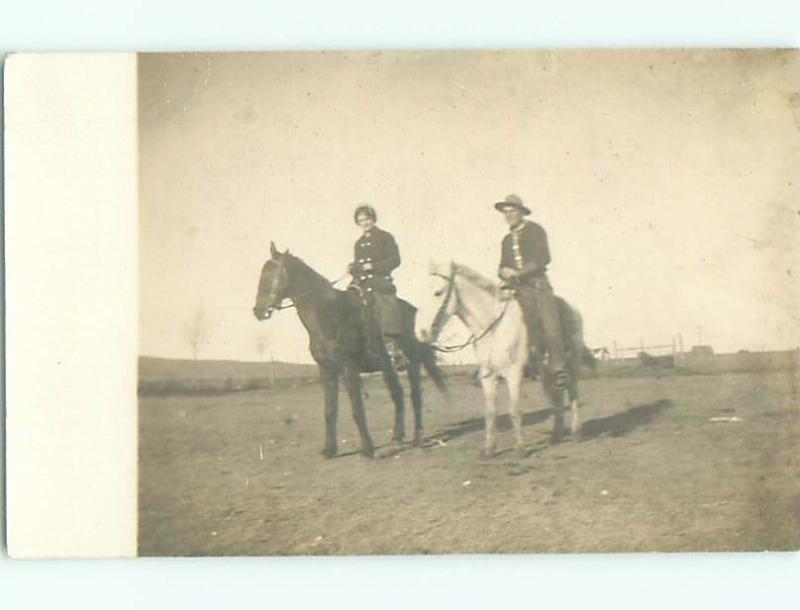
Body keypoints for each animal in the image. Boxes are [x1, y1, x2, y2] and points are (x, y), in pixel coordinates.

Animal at [253, 242, 446, 456]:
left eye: (270, 276)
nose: (258, 311)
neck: (330, 314)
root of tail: (415, 311)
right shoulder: (326, 370)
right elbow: (330, 410)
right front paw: (330, 449)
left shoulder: (348, 367)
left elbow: (357, 408)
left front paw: (368, 449)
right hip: (388, 367)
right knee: (398, 394)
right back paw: (397, 437)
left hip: (412, 363)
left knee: (415, 397)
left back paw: (418, 438)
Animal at [416, 262, 592, 456]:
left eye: (437, 292)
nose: (421, 332)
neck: (494, 327)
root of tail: (573, 309)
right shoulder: (488, 375)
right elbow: (490, 412)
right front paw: (489, 449)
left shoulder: (514, 373)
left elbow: (515, 410)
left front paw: (521, 448)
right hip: (547, 369)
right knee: (557, 397)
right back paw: (556, 436)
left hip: (572, 363)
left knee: (573, 393)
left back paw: (577, 432)